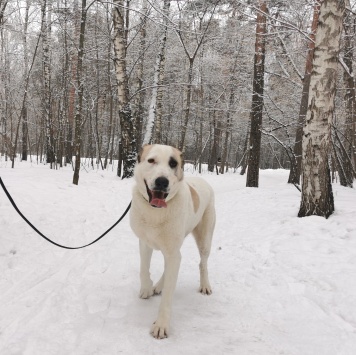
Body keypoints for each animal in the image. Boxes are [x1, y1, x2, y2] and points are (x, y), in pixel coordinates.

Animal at [130, 145, 216, 340]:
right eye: (151, 160)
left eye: (173, 163)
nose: (162, 181)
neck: (155, 212)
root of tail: (203, 180)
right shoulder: (145, 242)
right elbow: (143, 269)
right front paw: (147, 288)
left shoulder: (172, 252)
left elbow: (168, 295)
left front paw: (161, 325)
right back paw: (157, 286)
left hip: (204, 239)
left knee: (203, 263)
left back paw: (205, 285)